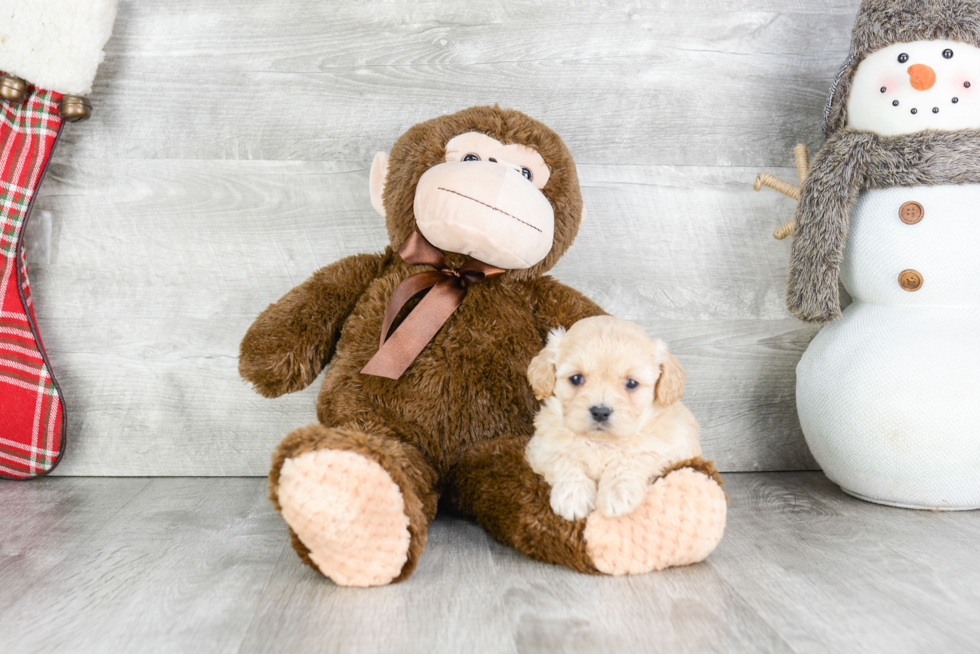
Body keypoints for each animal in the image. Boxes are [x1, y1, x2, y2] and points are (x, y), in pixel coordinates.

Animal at [524, 318, 700, 524]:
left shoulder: (670, 448)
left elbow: (630, 457)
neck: (601, 442)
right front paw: (573, 496)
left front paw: (616, 494)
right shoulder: (542, 447)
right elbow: (565, 460)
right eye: (576, 378)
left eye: (631, 383)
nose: (600, 412)